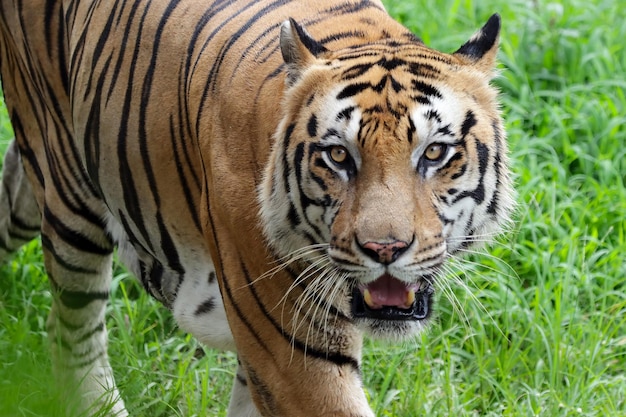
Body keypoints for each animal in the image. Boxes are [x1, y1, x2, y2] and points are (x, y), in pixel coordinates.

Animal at [0, 0, 512, 414]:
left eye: (434, 153)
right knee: (72, 331)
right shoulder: (295, 360)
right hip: (69, 192)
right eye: (338, 155)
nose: (383, 249)